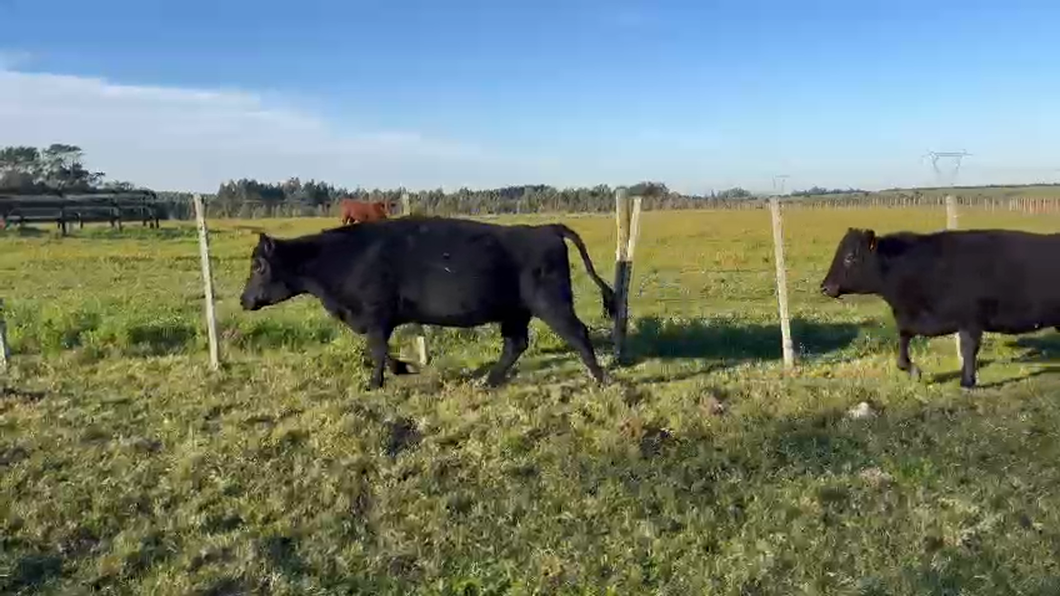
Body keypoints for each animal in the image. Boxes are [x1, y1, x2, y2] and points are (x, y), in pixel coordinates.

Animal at [238, 215, 619, 388]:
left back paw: (600, 378)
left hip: (551, 303)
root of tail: (545, 228)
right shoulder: (377, 319)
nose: (244, 299)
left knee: (578, 333)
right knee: (516, 343)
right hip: (516, 311)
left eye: (258, 266)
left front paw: (374, 383)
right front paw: (402, 368)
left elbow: (376, 350)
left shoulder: (376, 315)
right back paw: (488, 381)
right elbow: (381, 351)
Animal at [822, 224, 1060, 388]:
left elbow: (968, 349)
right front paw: (913, 370)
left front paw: (967, 382)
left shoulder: (970, 320)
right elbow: (903, 341)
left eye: (850, 257)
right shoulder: (917, 319)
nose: (825, 287)